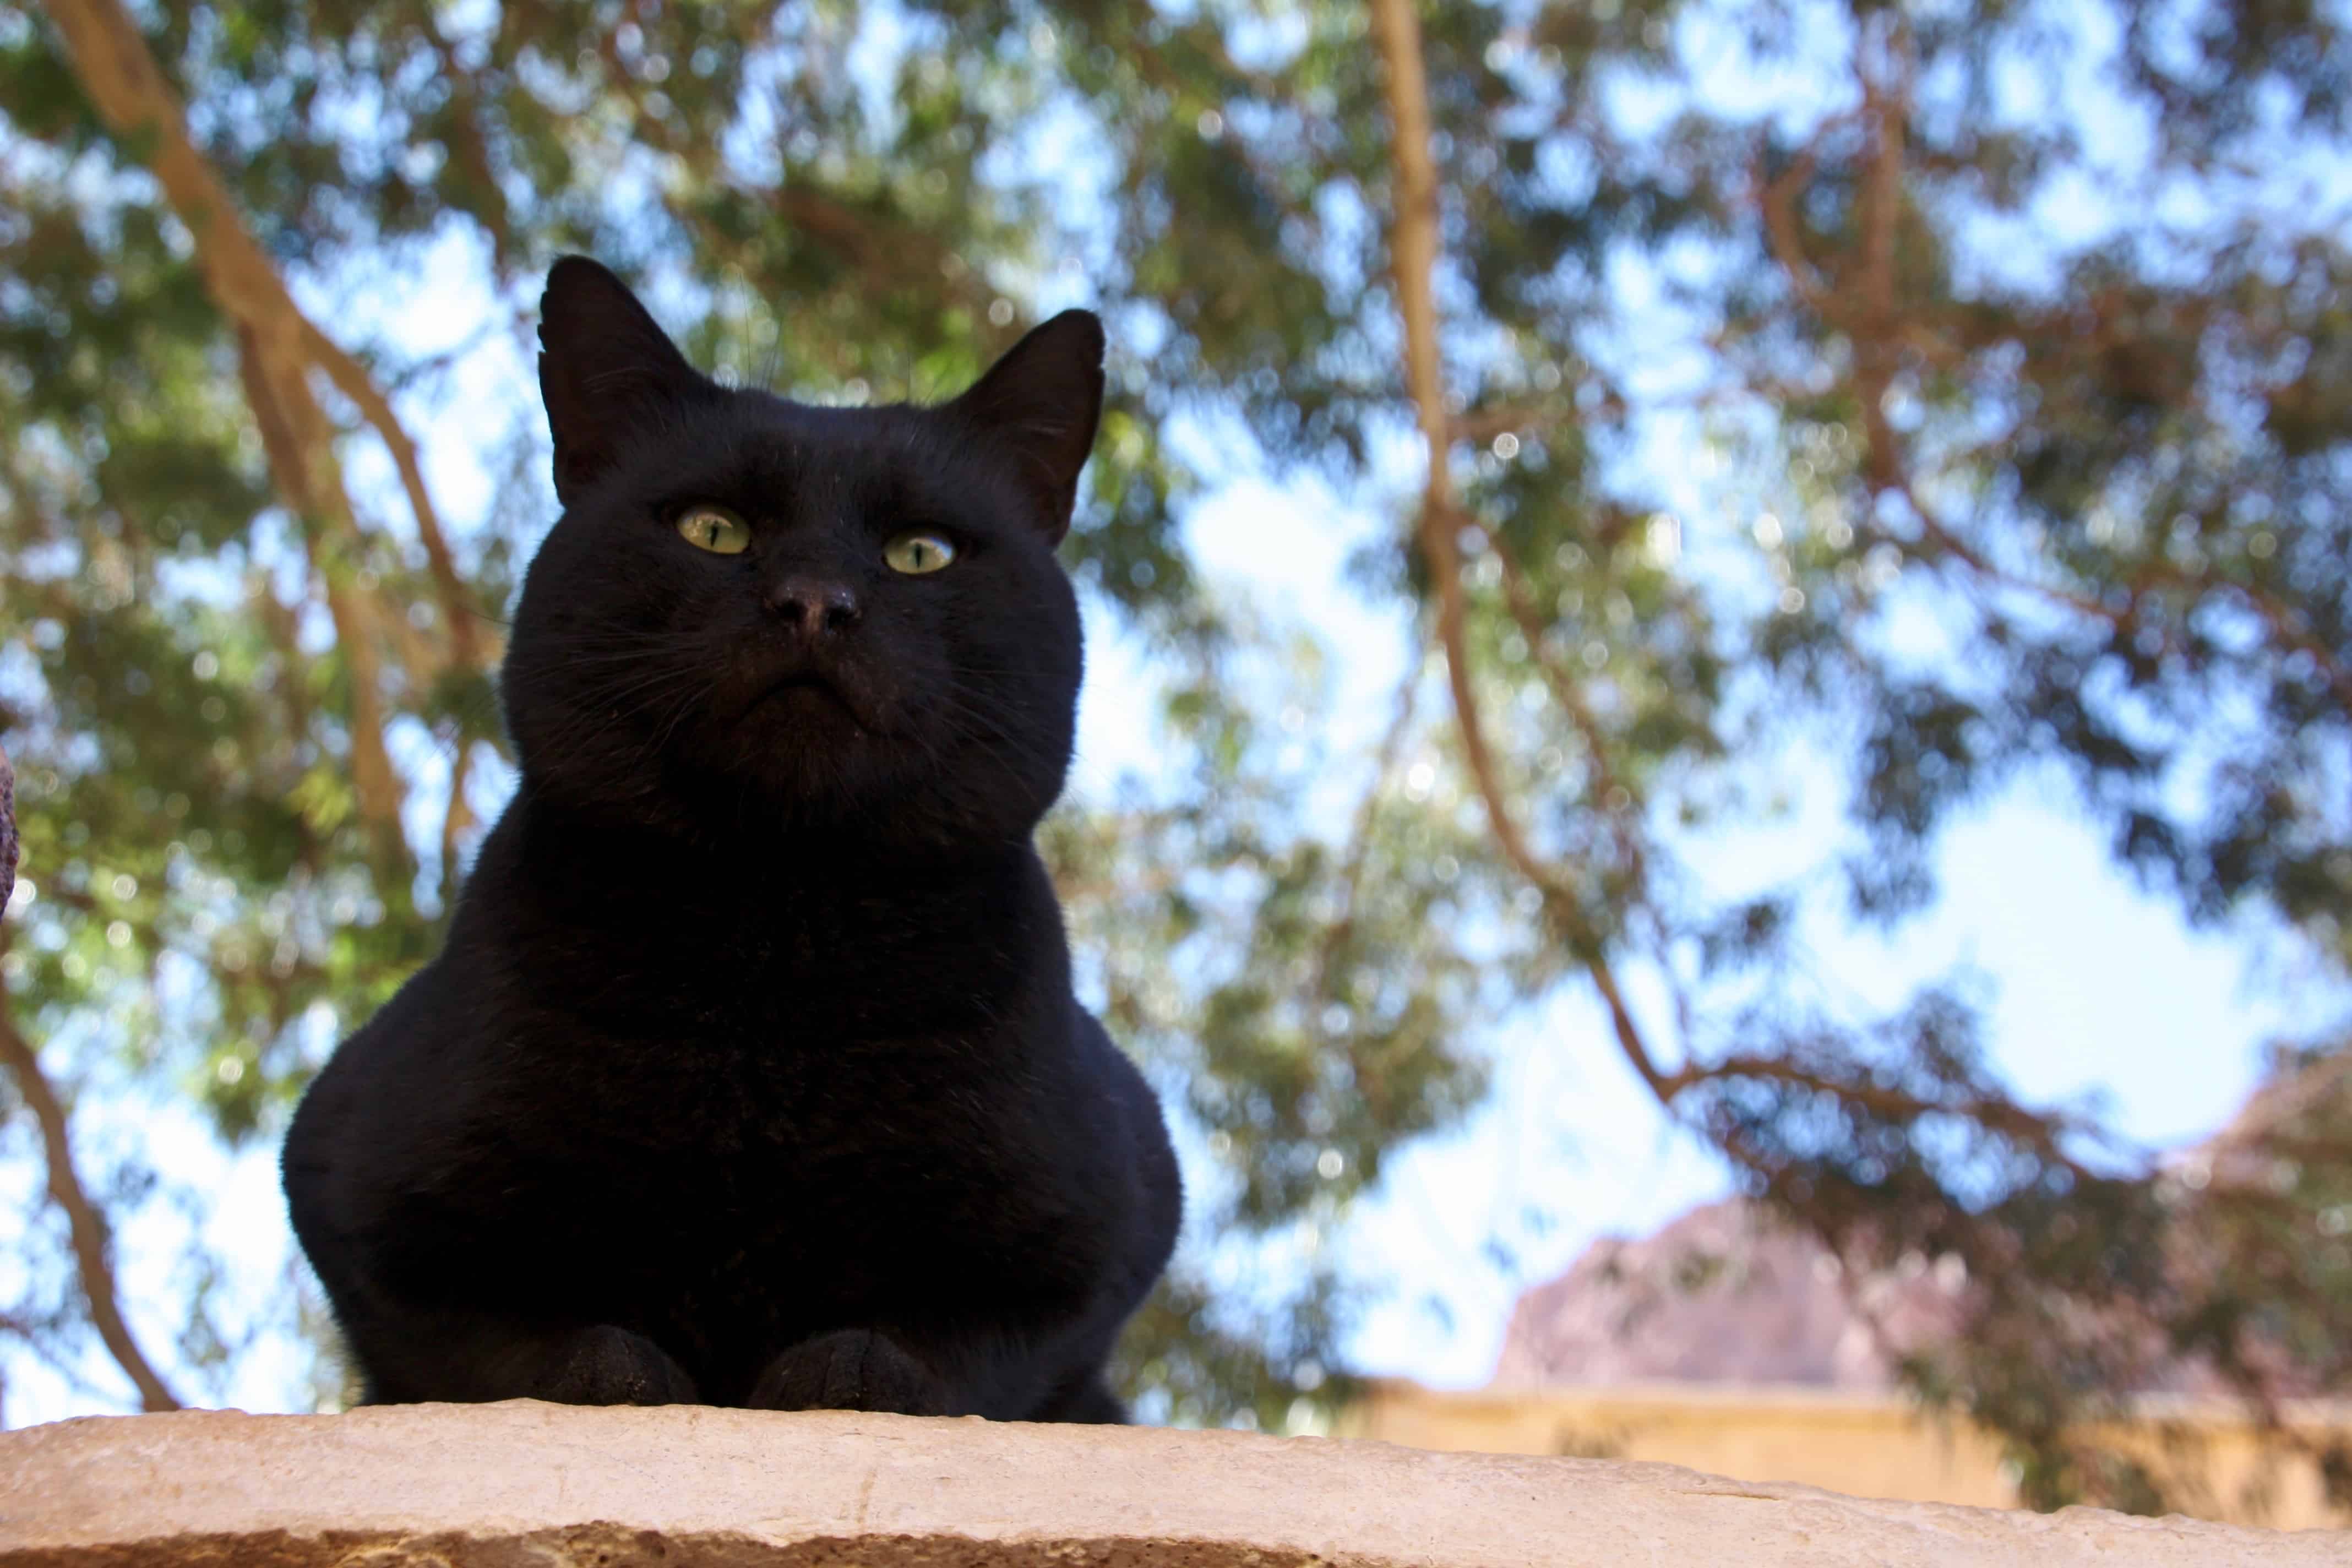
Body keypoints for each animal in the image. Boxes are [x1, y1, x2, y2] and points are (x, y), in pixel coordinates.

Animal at [277, 260, 1185, 1419]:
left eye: (920, 553)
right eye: (712, 529)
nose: (814, 603)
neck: (773, 955)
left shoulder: (1116, 1210)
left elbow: (965, 1349)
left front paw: (846, 1370)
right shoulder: (347, 1173)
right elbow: (503, 1342)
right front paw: (617, 1371)